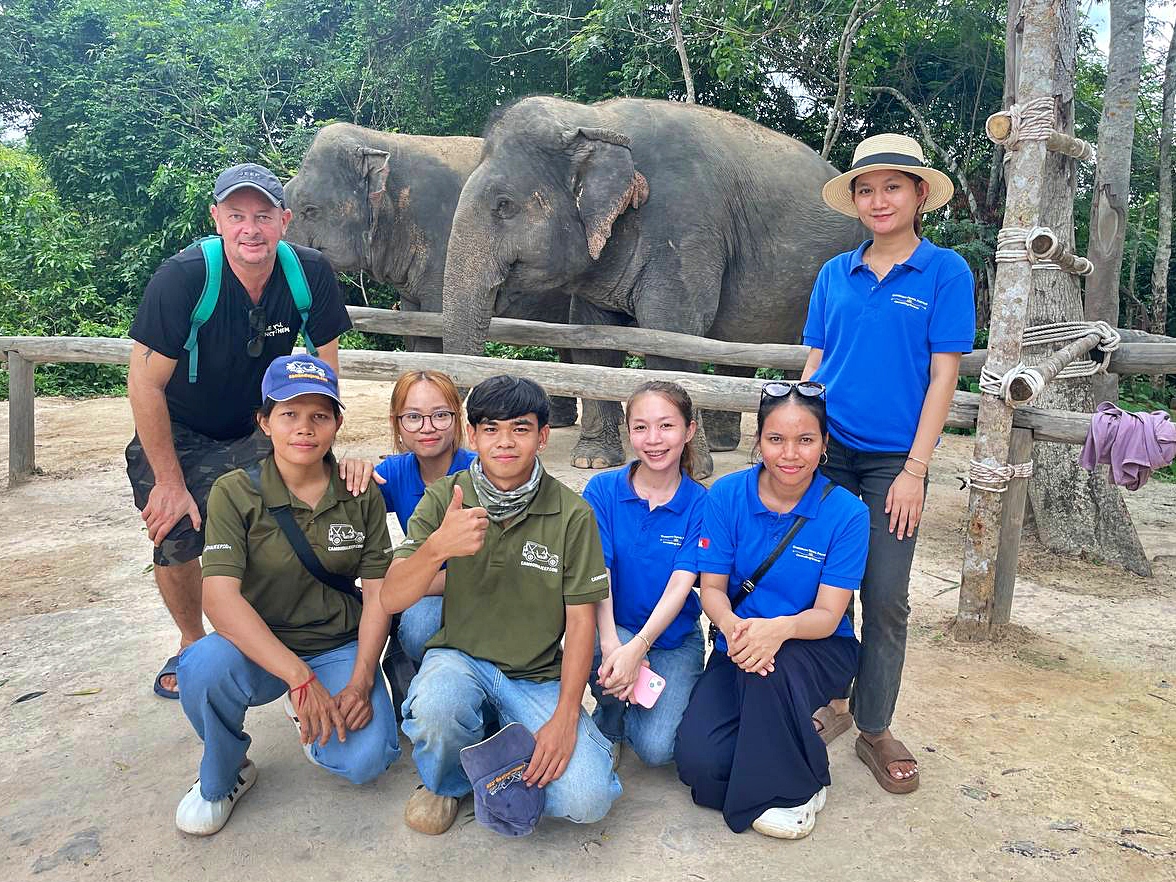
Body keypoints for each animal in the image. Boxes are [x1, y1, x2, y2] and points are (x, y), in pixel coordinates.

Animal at [440, 97, 863, 475]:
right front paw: (592, 461)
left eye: (504, 205)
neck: (594, 120)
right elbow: (592, 340)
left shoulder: (685, 227)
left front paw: (693, 470)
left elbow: (672, 336)